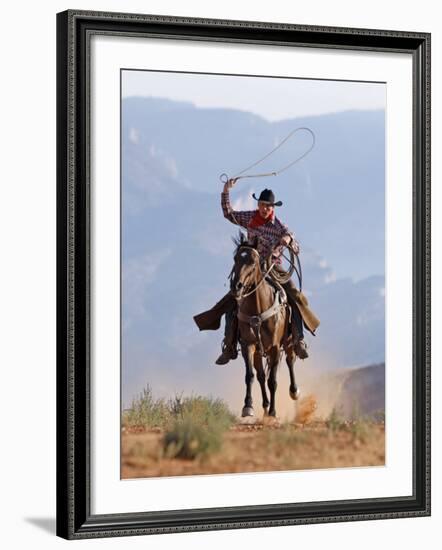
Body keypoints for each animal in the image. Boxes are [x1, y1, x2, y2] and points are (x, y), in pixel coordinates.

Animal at [230, 233, 298, 418]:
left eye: (253, 261)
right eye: (235, 258)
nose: (236, 286)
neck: (258, 308)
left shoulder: (275, 347)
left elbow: (272, 381)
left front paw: (274, 412)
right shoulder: (248, 345)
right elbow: (250, 375)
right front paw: (248, 406)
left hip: (288, 342)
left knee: (290, 361)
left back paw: (294, 391)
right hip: (259, 351)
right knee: (260, 375)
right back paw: (265, 405)